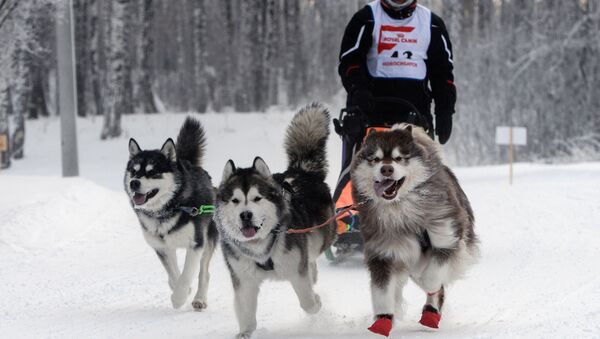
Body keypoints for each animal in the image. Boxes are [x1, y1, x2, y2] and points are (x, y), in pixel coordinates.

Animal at [123, 118, 217, 312]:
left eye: (152, 172)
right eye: (134, 171)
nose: (134, 182)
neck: (168, 208)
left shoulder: (196, 244)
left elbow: (187, 274)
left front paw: (179, 298)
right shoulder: (162, 247)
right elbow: (174, 275)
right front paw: (182, 291)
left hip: (208, 239)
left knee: (204, 273)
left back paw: (200, 299)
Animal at [216, 104, 338, 339]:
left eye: (257, 198)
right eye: (235, 200)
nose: (246, 215)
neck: (261, 248)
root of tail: (300, 171)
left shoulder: (296, 271)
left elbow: (308, 302)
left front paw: (317, 301)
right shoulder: (243, 279)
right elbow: (246, 313)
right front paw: (245, 332)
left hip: (321, 236)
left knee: (311, 258)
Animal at [352, 123, 478, 336]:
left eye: (399, 158)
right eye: (375, 159)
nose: (386, 169)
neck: (401, 209)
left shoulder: (446, 237)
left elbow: (433, 277)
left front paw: (430, 287)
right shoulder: (382, 254)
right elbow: (382, 292)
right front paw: (383, 321)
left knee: (434, 284)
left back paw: (431, 314)